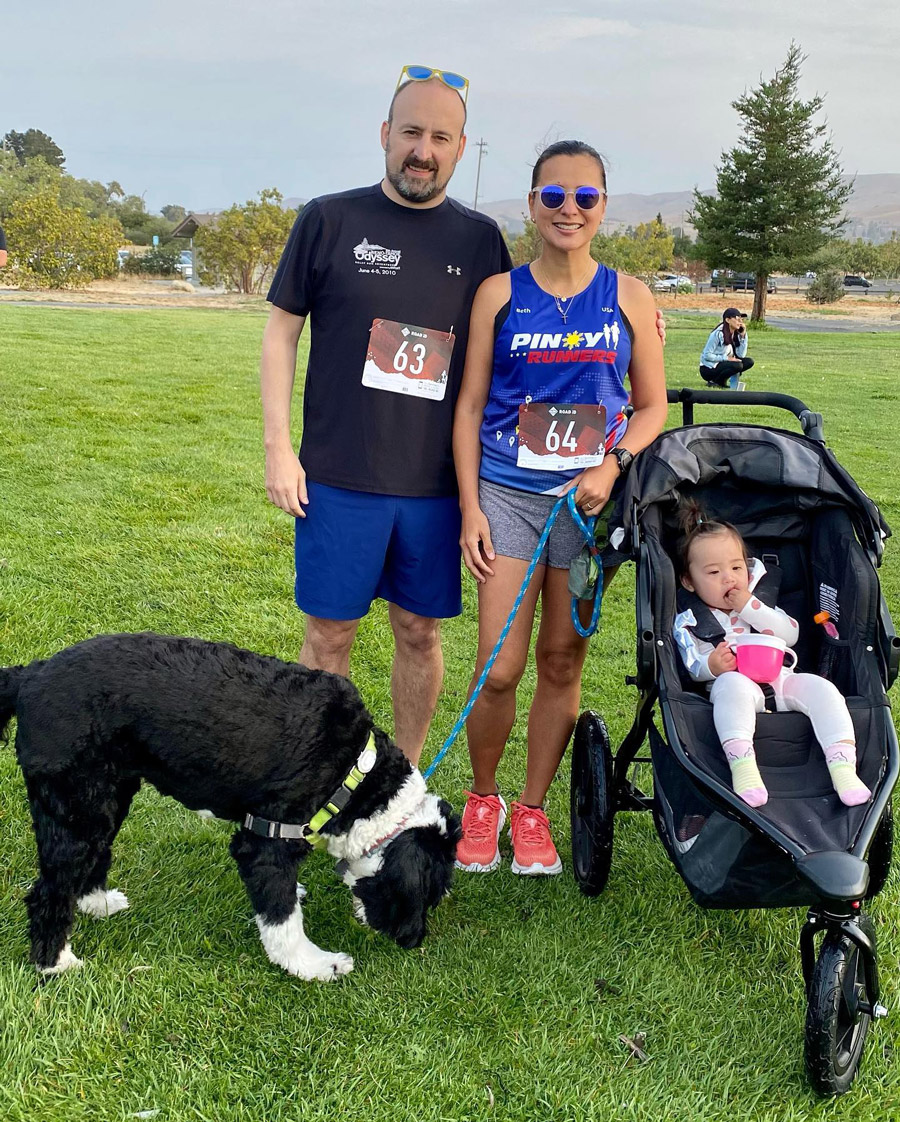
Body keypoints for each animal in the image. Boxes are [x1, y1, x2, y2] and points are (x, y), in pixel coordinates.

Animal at [0, 637, 460, 978]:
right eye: (430, 893)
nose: (412, 939)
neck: (359, 780)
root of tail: (31, 675)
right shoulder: (264, 843)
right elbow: (282, 920)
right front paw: (314, 965)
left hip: (107, 799)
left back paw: (97, 902)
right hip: (77, 809)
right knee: (47, 892)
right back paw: (56, 963)